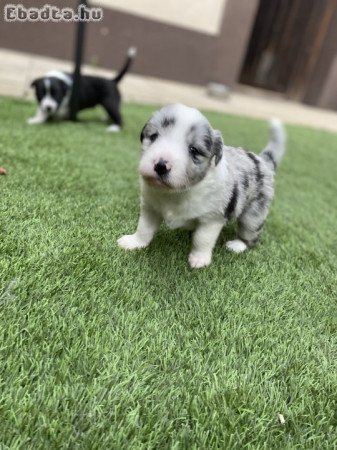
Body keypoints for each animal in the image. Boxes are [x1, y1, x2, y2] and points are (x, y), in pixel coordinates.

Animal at [117, 103, 284, 268]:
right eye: (154, 136)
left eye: (193, 150)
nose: (161, 166)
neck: (176, 192)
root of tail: (262, 160)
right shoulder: (150, 208)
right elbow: (144, 228)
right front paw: (134, 243)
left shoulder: (211, 219)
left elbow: (202, 239)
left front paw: (199, 259)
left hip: (253, 214)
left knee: (250, 234)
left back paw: (237, 245)